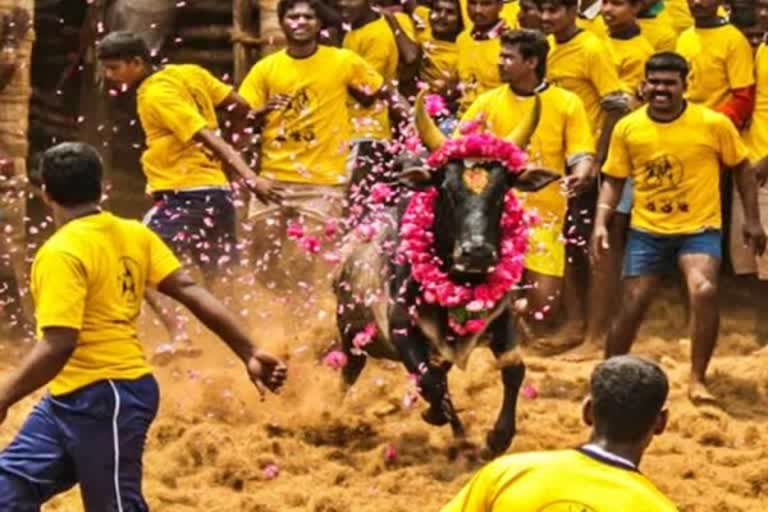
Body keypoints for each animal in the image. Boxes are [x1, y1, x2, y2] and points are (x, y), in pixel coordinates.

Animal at [332, 92, 560, 456]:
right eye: (448, 190)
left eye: (501, 191)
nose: (477, 252)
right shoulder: (401, 329)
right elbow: (430, 381)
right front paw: (439, 418)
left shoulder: (501, 319)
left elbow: (513, 369)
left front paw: (498, 437)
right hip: (352, 337)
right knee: (349, 374)